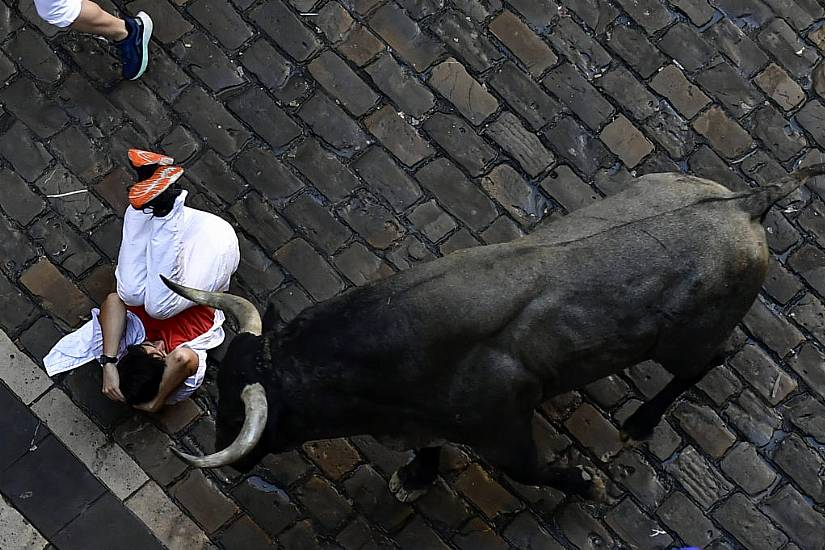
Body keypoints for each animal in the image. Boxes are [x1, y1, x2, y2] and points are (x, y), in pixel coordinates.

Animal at [161, 166, 824, 502]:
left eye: (241, 413)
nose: (233, 460)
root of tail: (745, 202)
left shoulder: (506, 427)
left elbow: (531, 471)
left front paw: (583, 483)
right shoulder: (419, 421)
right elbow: (425, 450)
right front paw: (415, 479)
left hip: (687, 340)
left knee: (706, 362)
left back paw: (641, 423)